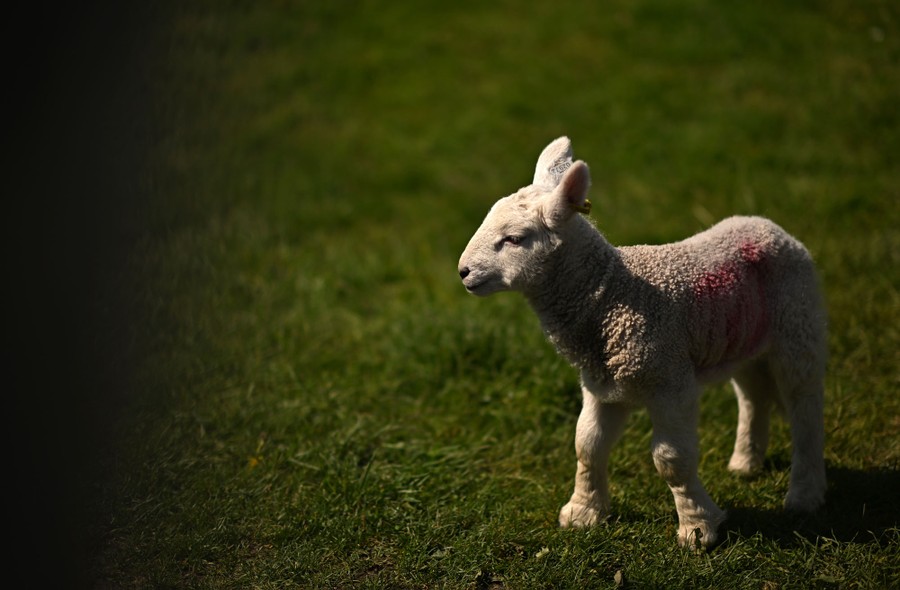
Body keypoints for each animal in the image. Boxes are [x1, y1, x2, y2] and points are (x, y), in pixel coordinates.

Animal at [457, 136, 827, 549]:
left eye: (514, 239)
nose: (463, 272)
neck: (612, 294)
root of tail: (766, 224)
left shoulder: (669, 380)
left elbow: (672, 460)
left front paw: (697, 527)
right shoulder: (602, 384)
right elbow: (587, 446)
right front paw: (583, 513)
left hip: (798, 325)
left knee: (804, 407)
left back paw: (804, 496)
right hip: (744, 340)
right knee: (752, 395)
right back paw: (745, 464)